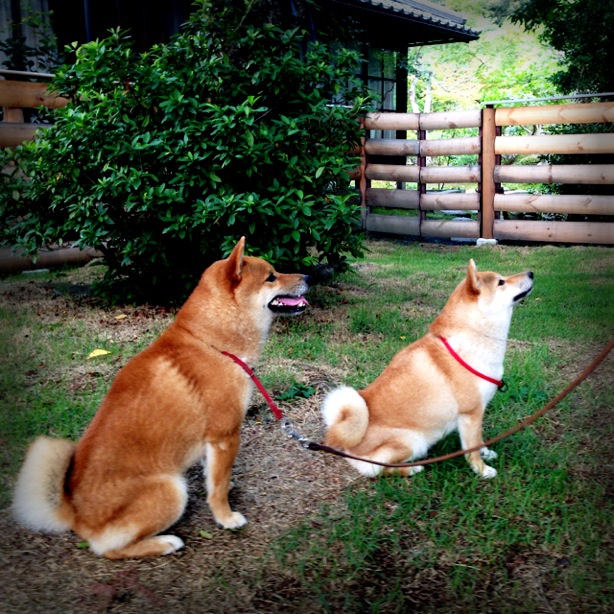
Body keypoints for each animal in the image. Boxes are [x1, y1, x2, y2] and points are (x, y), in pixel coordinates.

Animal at [13, 238, 312, 560]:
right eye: (271, 276)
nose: (309, 277)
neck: (211, 342)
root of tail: (75, 515)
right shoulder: (224, 435)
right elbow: (218, 487)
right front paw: (226, 518)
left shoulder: (213, 443)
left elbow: (215, 478)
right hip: (172, 489)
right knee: (109, 550)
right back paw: (166, 542)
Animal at [322, 260, 536, 482]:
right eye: (501, 282)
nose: (531, 273)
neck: (472, 336)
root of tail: (350, 447)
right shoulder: (471, 413)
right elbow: (472, 449)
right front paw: (482, 470)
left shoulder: (477, 414)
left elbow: (479, 439)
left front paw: (486, 453)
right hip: (413, 442)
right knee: (378, 469)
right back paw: (413, 469)